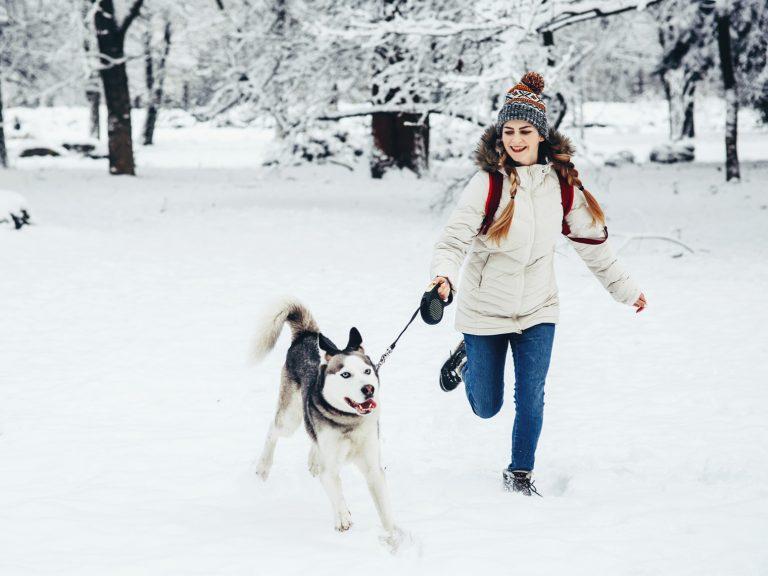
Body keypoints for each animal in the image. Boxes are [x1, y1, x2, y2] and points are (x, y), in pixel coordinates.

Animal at [252, 296, 396, 536]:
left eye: (367, 371)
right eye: (346, 374)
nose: (368, 389)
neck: (348, 422)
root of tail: (307, 335)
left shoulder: (373, 468)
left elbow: (385, 509)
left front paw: (394, 536)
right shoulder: (331, 469)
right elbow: (335, 491)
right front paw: (343, 518)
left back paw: (313, 460)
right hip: (290, 418)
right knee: (273, 429)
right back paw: (263, 466)